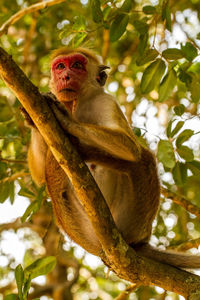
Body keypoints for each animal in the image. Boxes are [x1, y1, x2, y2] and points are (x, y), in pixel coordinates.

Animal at [25, 47, 200, 270]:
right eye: (60, 66)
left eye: (77, 65)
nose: (65, 76)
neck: (77, 103)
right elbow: (39, 175)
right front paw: (31, 119)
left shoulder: (106, 101)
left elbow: (130, 148)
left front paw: (67, 120)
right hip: (80, 226)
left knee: (142, 158)